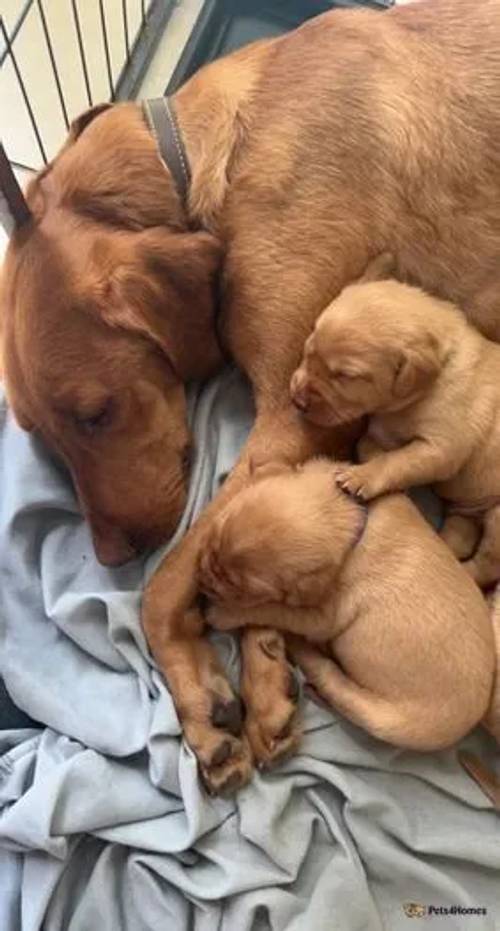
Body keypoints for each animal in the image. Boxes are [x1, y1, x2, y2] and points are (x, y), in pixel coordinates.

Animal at [197, 460, 494, 756]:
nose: (202, 577)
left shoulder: (321, 616)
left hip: (378, 714)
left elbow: (272, 609)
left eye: (241, 588)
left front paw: (222, 613)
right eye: (213, 537)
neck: (350, 520)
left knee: (333, 682)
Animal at [290, 274, 500, 588]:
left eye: (345, 376)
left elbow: (399, 460)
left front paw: (361, 477)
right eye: (309, 348)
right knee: (460, 537)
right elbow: (370, 444)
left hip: (498, 520)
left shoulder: (442, 446)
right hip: (465, 512)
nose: (297, 401)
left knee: (487, 565)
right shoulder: (382, 428)